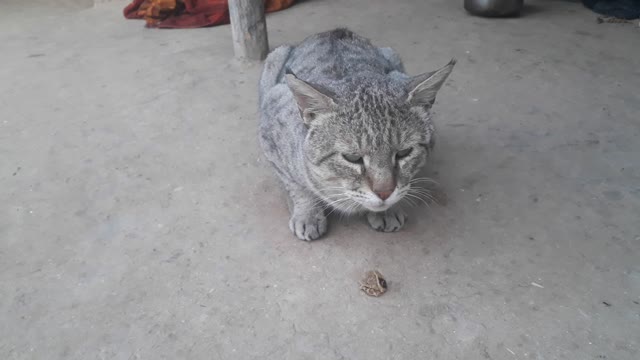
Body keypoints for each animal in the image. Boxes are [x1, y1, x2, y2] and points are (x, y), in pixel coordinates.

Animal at [258, 28, 452, 242]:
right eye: (352, 157)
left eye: (404, 153)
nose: (384, 193)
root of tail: (332, 31)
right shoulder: (270, 131)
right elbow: (296, 186)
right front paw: (307, 213)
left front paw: (386, 211)